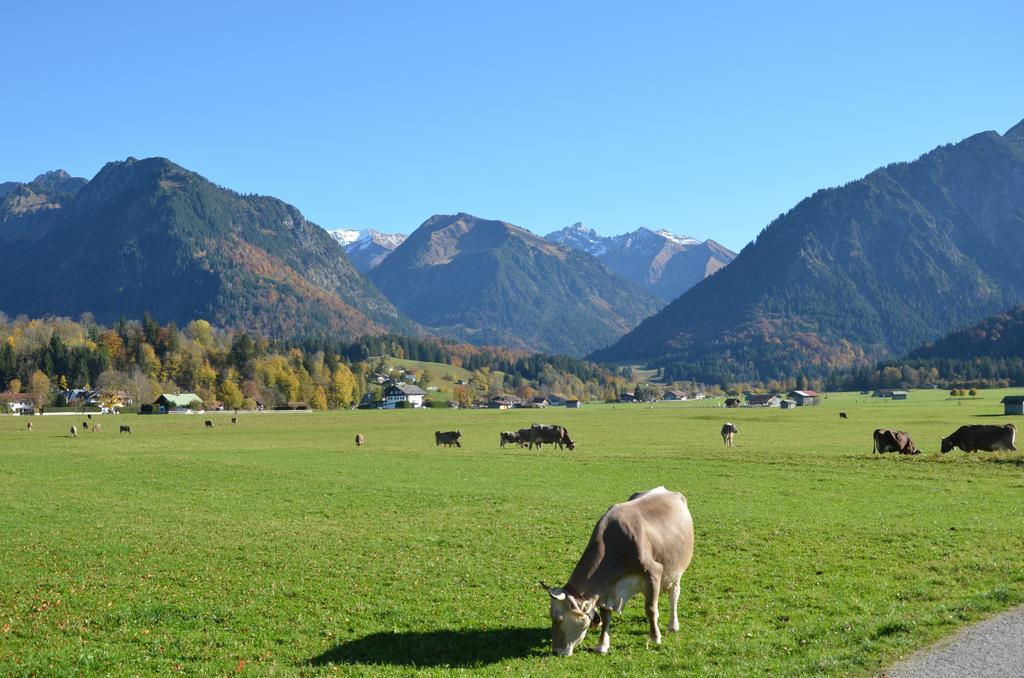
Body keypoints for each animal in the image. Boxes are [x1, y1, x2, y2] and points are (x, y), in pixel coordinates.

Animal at [544, 489, 696, 659]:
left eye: (559, 619)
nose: (556, 651)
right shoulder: (605, 589)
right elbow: (606, 617)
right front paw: (602, 645)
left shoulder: (653, 573)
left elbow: (651, 609)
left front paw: (655, 637)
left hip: (676, 571)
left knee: (674, 595)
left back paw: (673, 625)